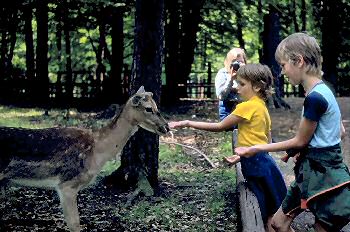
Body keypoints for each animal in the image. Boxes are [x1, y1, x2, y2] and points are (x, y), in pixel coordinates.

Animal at [0, 86, 170, 231]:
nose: (166, 127)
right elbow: (75, 224)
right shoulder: (67, 184)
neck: (97, 152)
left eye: (157, 106)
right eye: (148, 108)